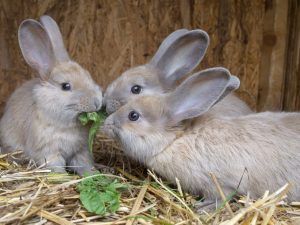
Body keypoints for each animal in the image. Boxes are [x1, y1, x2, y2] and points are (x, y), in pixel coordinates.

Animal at [0, 15, 102, 176]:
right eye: (66, 86)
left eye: (88, 76)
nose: (97, 102)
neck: (67, 126)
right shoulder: (49, 152)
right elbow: (56, 166)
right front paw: (62, 176)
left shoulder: (81, 150)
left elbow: (84, 164)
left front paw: (93, 174)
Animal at [102, 66, 298, 205]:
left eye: (133, 116)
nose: (106, 124)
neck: (174, 141)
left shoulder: (218, 182)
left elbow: (223, 196)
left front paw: (204, 207)